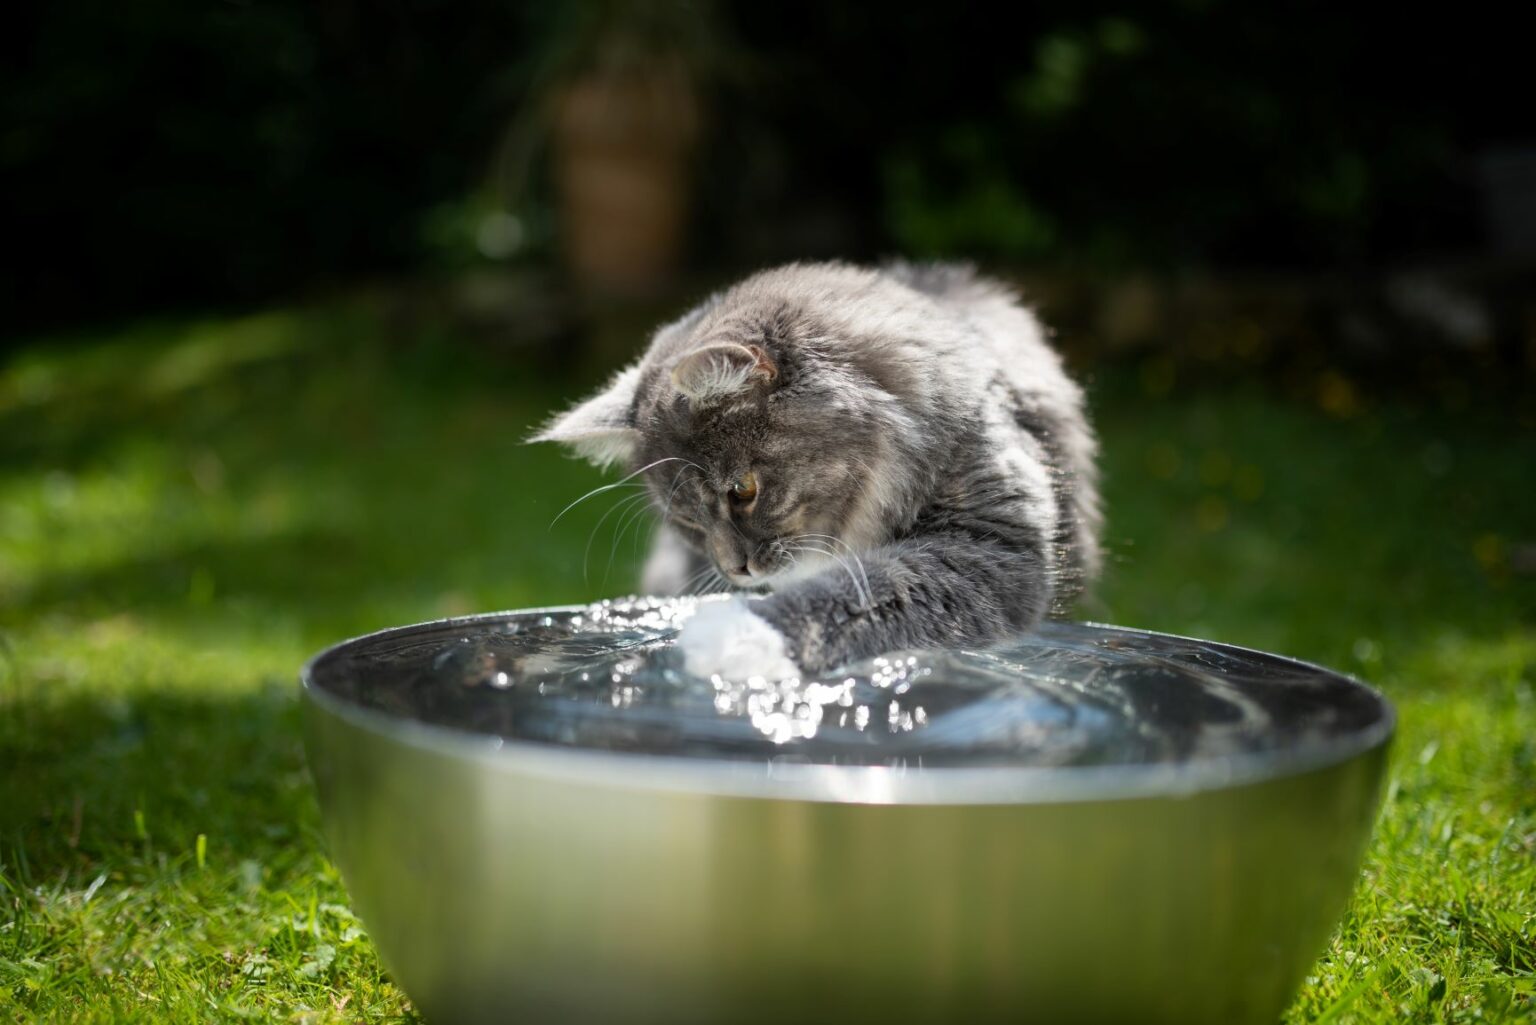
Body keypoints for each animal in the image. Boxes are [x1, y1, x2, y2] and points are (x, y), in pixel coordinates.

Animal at [534, 262, 1099, 682]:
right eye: (688, 522)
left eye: (743, 490)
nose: (733, 571)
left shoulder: (993, 545)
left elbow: (861, 593)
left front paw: (735, 639)